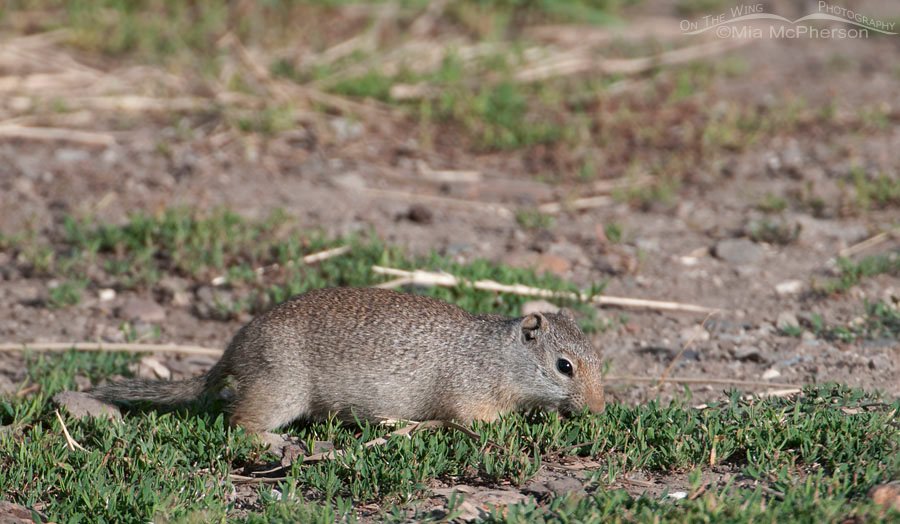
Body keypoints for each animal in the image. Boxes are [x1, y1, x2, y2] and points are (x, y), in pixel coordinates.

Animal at [90, 287, 605, 432]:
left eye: (600, 360)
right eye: (564, 366)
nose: (600, 410)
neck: (499, 356)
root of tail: (233, 349)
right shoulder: (471, 396)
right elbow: (478, 419)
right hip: (279, 391)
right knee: (240, 422)